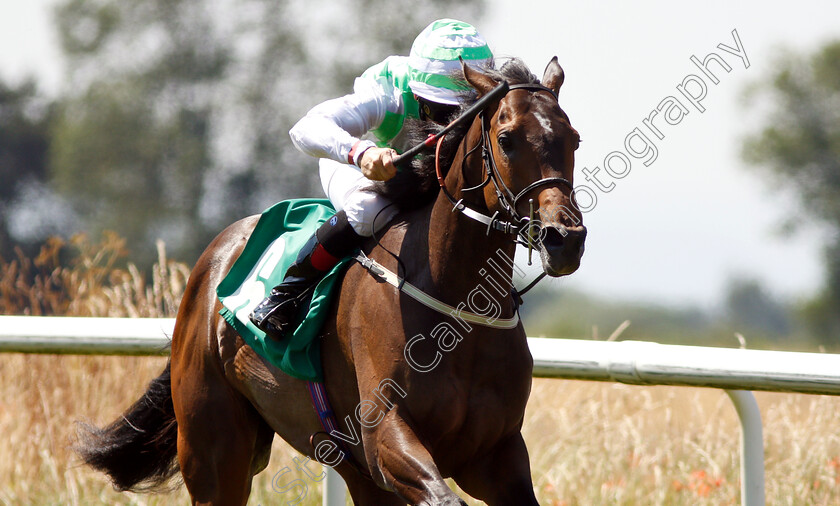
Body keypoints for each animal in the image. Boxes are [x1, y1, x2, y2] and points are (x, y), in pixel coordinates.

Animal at [77, 57, 584, 504]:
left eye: (573, 139)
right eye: (507, 138)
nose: (565, 239)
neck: (458, 307)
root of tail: (212, 260)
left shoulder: (497, 454)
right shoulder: (386, 433)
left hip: (347, 465)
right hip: (214, 453)